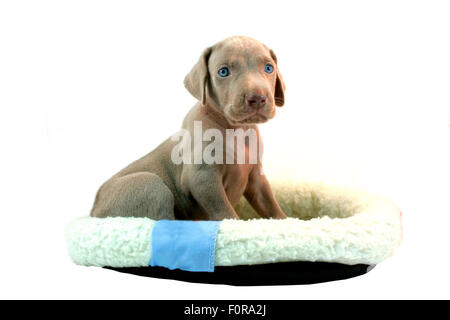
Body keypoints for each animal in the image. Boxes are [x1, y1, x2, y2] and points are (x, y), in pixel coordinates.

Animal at [91, 35, 286, 220]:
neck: (236, 129)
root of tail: (93, 211)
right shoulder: (202, 177)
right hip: (151, 184)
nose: (257, 98)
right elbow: (225, 211)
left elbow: (270, 204)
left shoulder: (256, 178)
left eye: (269, 68)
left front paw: (286, 221)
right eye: (223, 72)